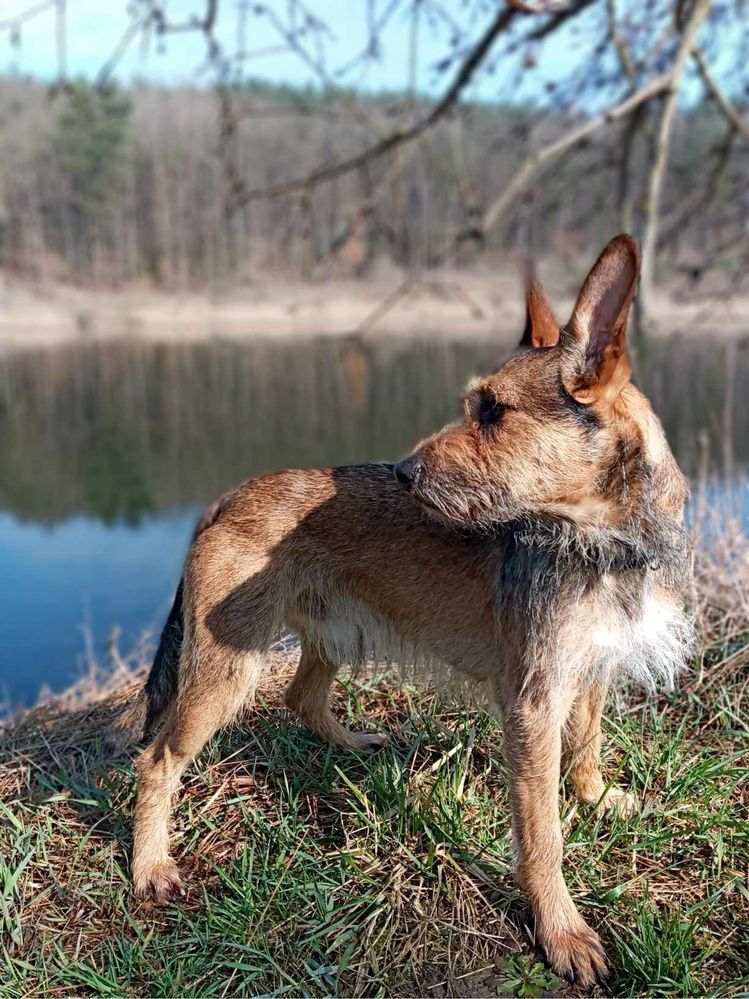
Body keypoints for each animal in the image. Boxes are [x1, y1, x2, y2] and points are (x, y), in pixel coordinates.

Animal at [130, 234, 696, 984]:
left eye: (492, 412)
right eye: (473, 404)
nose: (403, 472)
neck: (606, 542)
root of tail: (225, 497)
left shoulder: (590, 668)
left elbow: (588, 745)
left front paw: (597, 797)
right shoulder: (532, 703)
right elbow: (541, 832)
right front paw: (562, 931)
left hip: (329, 633)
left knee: (301, 697)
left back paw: (352, 744)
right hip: (222, 671)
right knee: (157, 760)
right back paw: (148, 866)